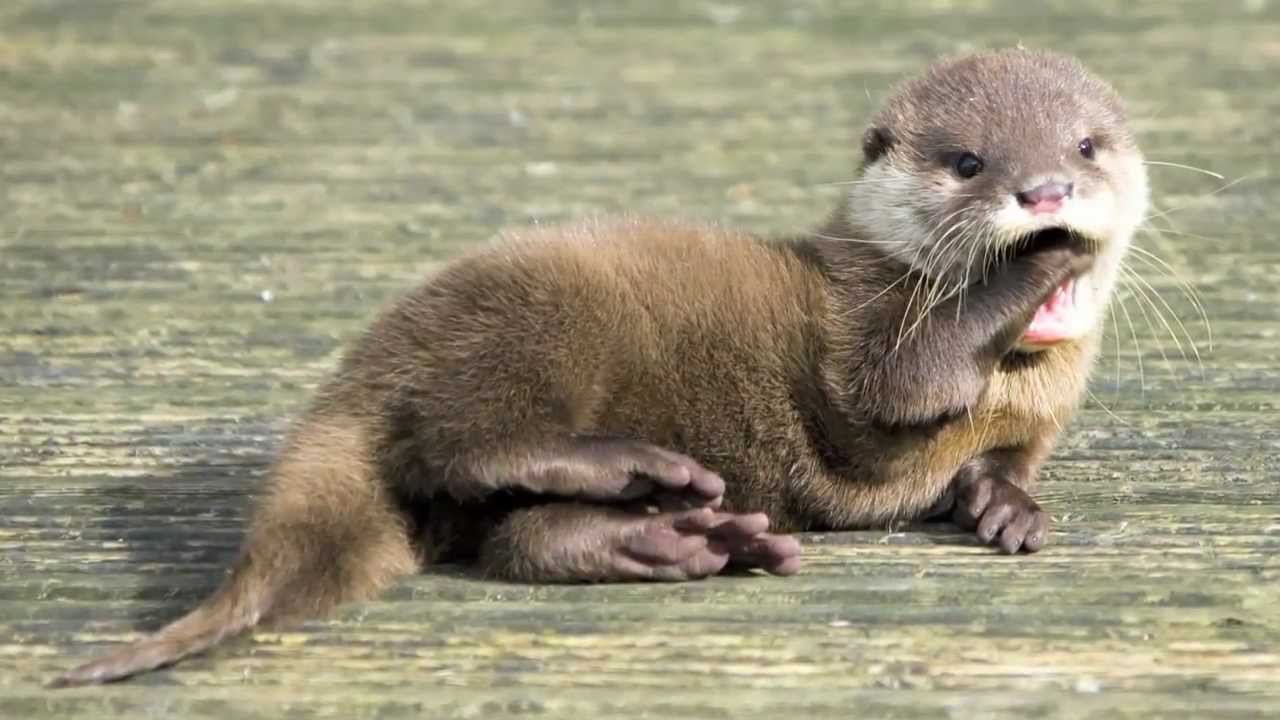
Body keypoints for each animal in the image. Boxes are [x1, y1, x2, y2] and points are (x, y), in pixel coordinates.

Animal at [49, 47, 1152, 686]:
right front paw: (1040, 260)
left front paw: (1006, 505)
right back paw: (640, 476)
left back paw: (681, 539)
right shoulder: (863, 330)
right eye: (966, 162)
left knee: (511, 534)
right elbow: (914, 375)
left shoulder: (1033, 420)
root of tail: (370, 360)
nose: (1043, 191)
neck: (1021, 385)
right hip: (541, 328)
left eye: (1085, 146)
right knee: (467, 443)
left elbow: (1005, 463)